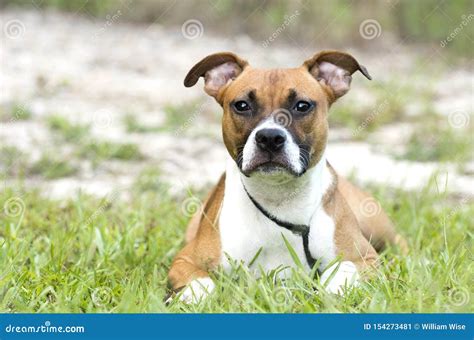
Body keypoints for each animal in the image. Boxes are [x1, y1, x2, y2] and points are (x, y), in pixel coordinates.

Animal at [168, 50, 408, 302]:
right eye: (242, 105)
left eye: (302, 106)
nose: (269, 137)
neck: (278, 199)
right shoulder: (186, 260)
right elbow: (200, 282)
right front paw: (192, 297)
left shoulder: (364, 258)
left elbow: (341, 269)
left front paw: (331, 291)